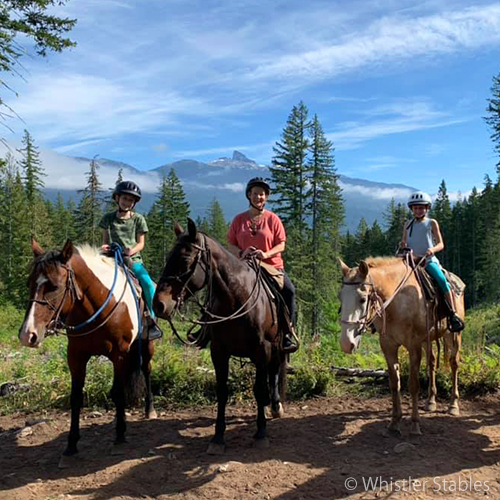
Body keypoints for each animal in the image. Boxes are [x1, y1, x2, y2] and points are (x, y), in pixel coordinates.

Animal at [19, 238, 156, 464]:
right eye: (29, 284)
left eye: (54, 286)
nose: (27, 335)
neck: (98, 305)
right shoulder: (76, 355)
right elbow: (76, 398)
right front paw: (71, 444)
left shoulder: (119, 354)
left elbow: (117, 392)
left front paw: (120, 434)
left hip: (146, 345)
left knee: (146, 370)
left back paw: (150, 409)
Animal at [151, 219, 286, 454]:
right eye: (168, 257)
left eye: (185, 259)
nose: (159, 304)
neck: (237, 298)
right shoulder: (219, 351)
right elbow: (222, 392)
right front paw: (218, 437)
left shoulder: (262, 349)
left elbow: (259, 389)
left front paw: (261, 433)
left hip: (277, 346)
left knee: (274, 370)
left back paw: (276, 405)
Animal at [338, 256, 462, 436]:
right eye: (340, 297)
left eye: (362, 299)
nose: (346, 343)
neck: (397, 303)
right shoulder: (388, 346)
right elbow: (394, 383)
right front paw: (394, 423)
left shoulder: (414, 346)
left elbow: (413, 385)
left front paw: (415, 425)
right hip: (427, 340)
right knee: (432, 362)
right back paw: (431, 401)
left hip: (453, 335)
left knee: (454, 363)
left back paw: (453, 405)